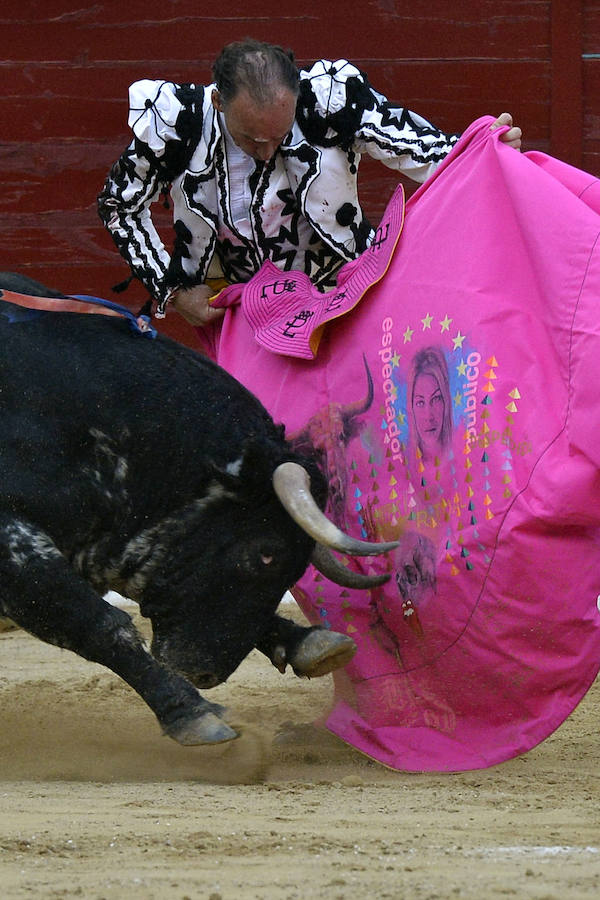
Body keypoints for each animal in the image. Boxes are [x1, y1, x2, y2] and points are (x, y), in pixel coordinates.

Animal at [0, 274, 396, 744]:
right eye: (265, 554)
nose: (206, 673)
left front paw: (310, 643)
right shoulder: (14, 548)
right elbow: (101, 624)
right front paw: (189, 710)